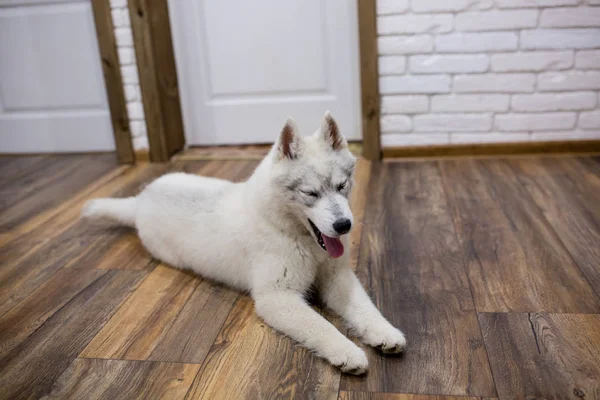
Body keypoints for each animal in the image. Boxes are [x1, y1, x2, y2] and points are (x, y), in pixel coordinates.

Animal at [81, 111, 408, 374]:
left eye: (342, 186)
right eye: (310, 193)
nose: (343, 226)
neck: (294, 234)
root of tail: (140, 200)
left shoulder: (337, 277)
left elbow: (365, 307)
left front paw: (384, 332)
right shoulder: (277, 297)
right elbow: (321, 325)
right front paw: (347, 351)